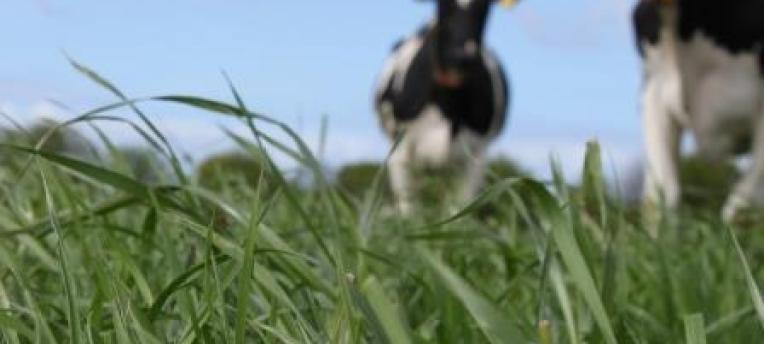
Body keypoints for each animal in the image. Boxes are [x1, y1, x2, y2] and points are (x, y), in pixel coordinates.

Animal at [374, 0, 516, 214]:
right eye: (443, 6)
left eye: (485, 8)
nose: (463, 55)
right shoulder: (400, 147)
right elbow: (408, 208)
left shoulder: (478, 153)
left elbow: (461, 208)